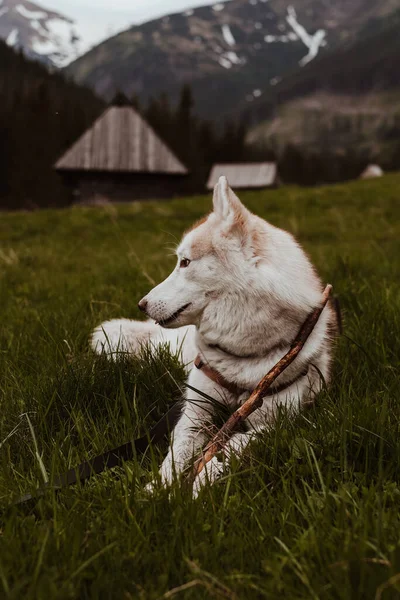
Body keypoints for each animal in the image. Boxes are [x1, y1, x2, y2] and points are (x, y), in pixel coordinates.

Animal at [90, 176, 334, 494]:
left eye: (185, 262)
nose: (141, 304)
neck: (240, 359)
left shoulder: (273, 425)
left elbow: (232, 446)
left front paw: (201, 483)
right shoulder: (195, 412)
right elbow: (177, 453)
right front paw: (160, 489)